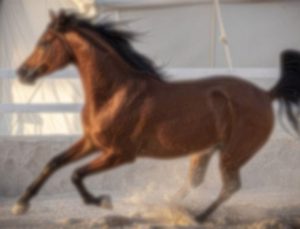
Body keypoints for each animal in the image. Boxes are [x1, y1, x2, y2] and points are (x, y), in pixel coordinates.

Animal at [12, 10, 300, 222]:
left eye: (44, 43)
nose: (22, 73)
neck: (115, 93)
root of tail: (266, 94)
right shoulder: (92, 142)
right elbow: (54, 163)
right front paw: (21, 204)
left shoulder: (120, 154)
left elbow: (75, 174)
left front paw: (102, 201)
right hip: (205, 150)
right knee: (196, 181)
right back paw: (167, 207)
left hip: (233, 154)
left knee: (230, 187)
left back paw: (199, 217)